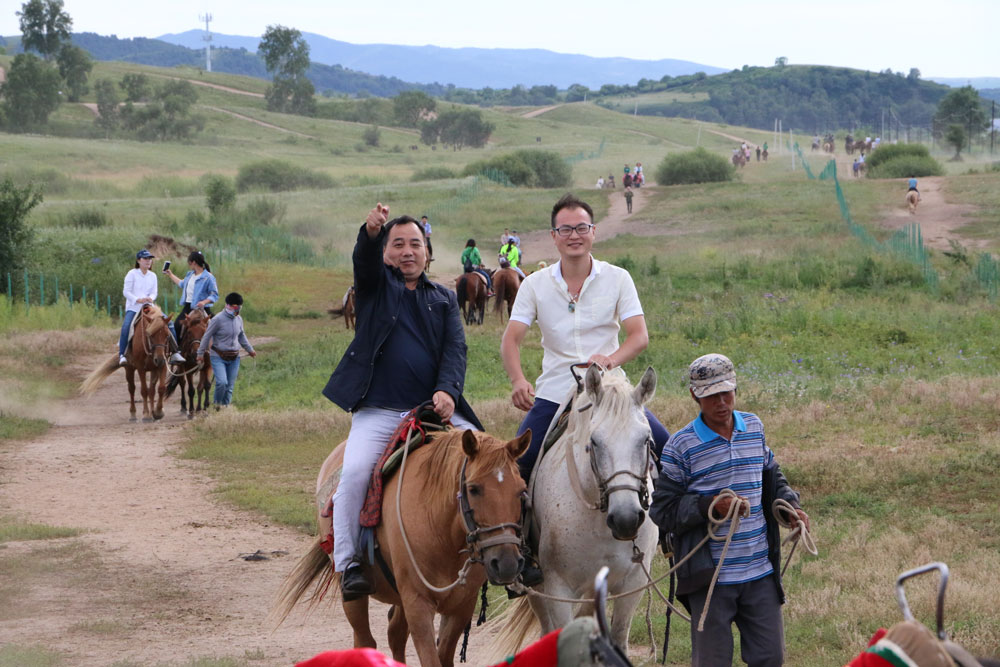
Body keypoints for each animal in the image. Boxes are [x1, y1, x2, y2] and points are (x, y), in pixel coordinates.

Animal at [274, 428, 532, 667]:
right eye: (474, 488)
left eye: (521, 490)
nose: (507, 563)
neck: (441, 531)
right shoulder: (418, 604)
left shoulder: (461, 606)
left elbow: (443, 656)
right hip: (353, 593)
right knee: (365, 640)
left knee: (395, 634)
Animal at [494, 368, 664, 656]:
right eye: (594, 441)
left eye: (646, 440)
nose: (626, 520)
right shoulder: (558, 589)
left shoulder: (633, 585)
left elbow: (618, 636)